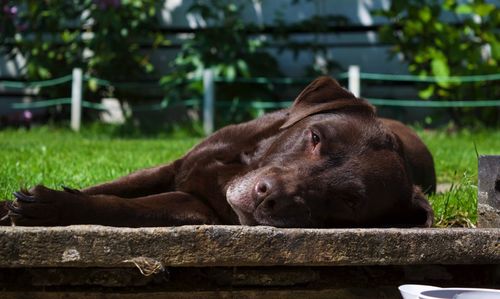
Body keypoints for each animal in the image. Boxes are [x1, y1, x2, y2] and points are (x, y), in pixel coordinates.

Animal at [0, 77, 434, 227]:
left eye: (349, 201)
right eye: (315, 137)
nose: (267, 196)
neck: (239, 165)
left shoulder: (197, 207)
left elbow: (118, 204)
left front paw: (52, 207)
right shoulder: (174, 166)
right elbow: (111, 187)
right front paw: (9, 205)